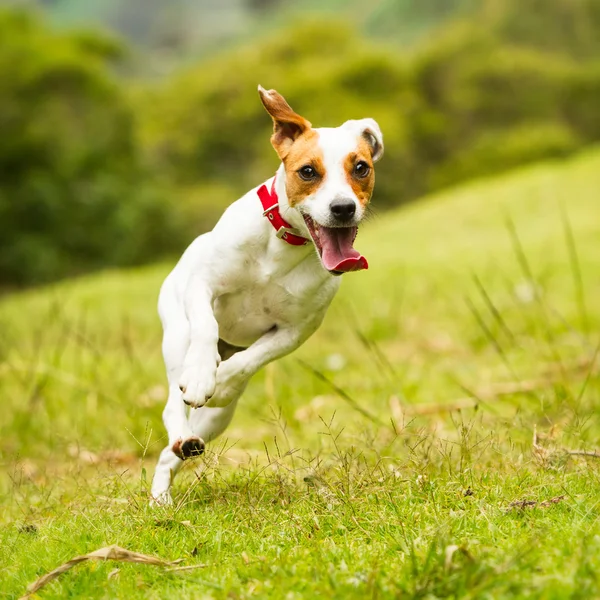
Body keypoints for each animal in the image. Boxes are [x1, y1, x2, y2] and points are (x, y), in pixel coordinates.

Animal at [151, 86, 384, 504]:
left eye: (361, 167)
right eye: (307, 171)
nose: (343, 208)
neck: (284, 245)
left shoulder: (296, 331)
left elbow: (252, 359)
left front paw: (224, 379)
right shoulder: (203, 285)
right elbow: (207, 325)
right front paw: (204, 373)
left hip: (216, 419)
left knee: (173, 450)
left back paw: (171, 473)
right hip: (176, 337)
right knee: (172, 404)